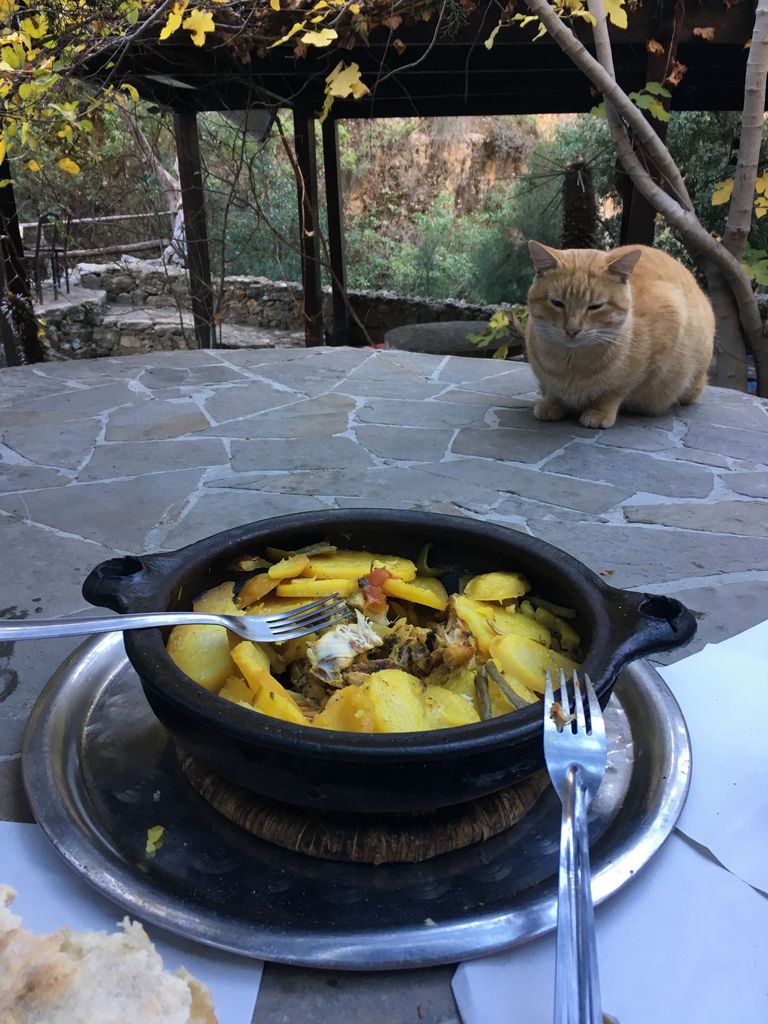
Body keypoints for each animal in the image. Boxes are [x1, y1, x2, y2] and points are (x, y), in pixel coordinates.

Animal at [524, 240, 715, 429]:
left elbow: (613, 392)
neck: (570, 365)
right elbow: (552, 391)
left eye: (595, 306)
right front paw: (552, 403)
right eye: (557, 303)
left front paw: (599, 411)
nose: (572, 329)